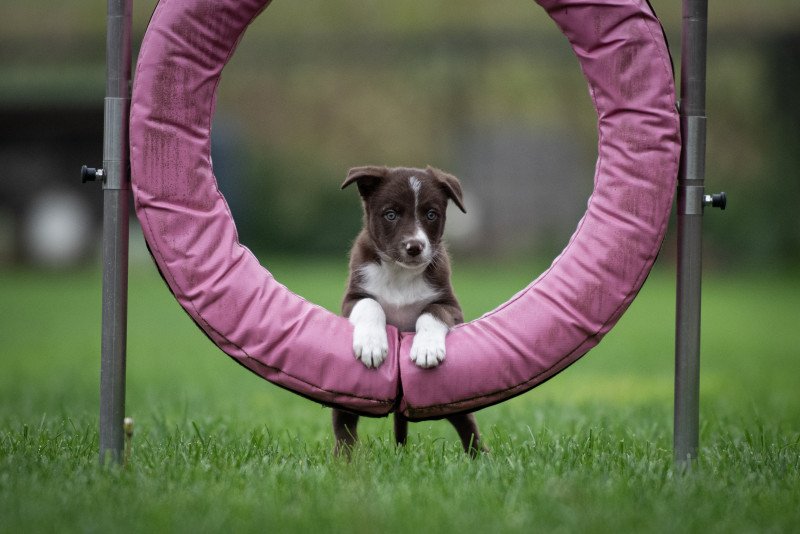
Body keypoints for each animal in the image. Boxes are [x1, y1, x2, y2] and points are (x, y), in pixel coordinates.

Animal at [332, 165, 484, 458]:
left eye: (431, 214)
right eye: (391, 214)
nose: (415, 247)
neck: (400, 273)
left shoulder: (450, 305)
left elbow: (431, 312)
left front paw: (426, 349)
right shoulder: (353, 298)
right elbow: (371, 305)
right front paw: (371, 345)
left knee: (467, 426)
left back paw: (480, 458)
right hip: (344, 404)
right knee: (344, 428)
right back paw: (345, 460)